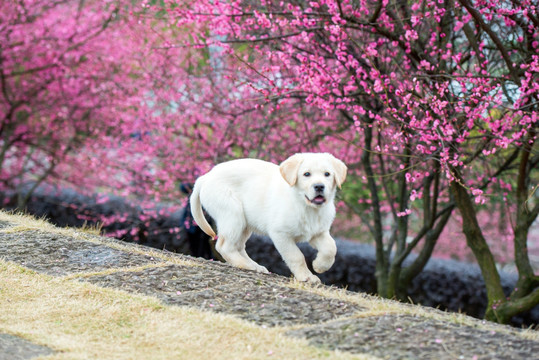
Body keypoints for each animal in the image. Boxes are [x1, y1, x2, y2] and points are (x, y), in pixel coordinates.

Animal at [192, 152, 348, 282]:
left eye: (327, 174)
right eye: (307, 174)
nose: (319, 186)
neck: (306, 206)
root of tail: (205, 177)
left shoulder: (318, 232)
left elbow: (331, 248)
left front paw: (320, 266)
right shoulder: (280, 234)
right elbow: (296, 256)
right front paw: (306, 276)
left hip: (245, 223)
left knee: (238, 246)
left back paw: (255, 265)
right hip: (233, 214)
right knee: (224, 246)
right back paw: (246, 265)